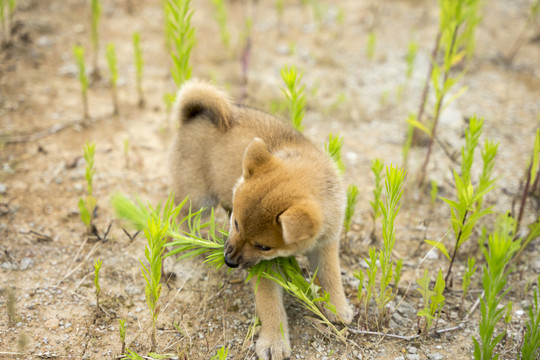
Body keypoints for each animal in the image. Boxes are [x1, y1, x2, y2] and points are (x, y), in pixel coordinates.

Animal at [171, 81, 352, 360]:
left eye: (264, 246)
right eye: (236, 224)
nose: (229, 261)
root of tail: (194, 116)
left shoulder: (326, 244)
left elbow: (331, 276)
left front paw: (336, 307)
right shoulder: (265, 268)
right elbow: (270, 305)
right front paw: (274, 341)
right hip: (198, 200)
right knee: (185, 220)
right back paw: (192, 242)